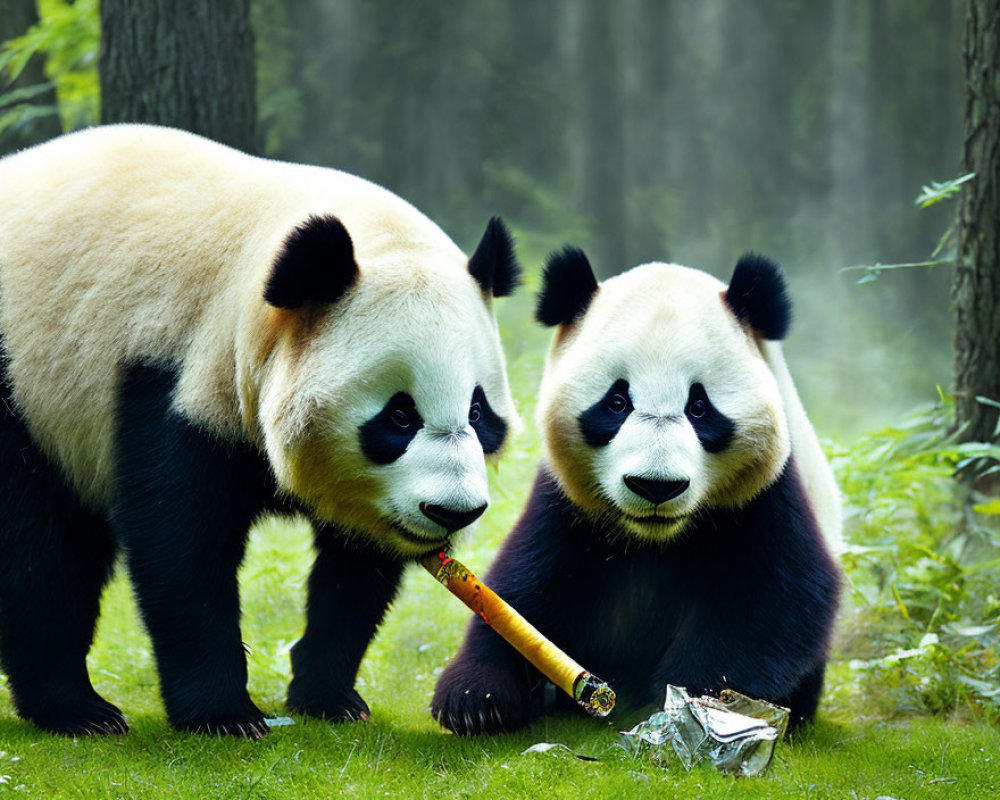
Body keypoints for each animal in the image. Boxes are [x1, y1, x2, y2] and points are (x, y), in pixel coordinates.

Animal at [0, 124, 522, 737]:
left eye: (479, 412)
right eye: (399, 416)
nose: (453, 512)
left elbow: (356, 572)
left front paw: (328, 697)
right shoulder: (177, 375)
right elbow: (183, 548)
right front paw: (224, 714)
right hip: (26, 384)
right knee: (37, 547)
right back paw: (76, 709)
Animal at [432, 247, 842, 734]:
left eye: (699, 407)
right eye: (617, 402)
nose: (655, 486)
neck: (656, 541)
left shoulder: (767, 495)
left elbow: (770, 603)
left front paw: (681, 708)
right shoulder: (568, 503)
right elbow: (523, 587)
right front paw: (475, 700)